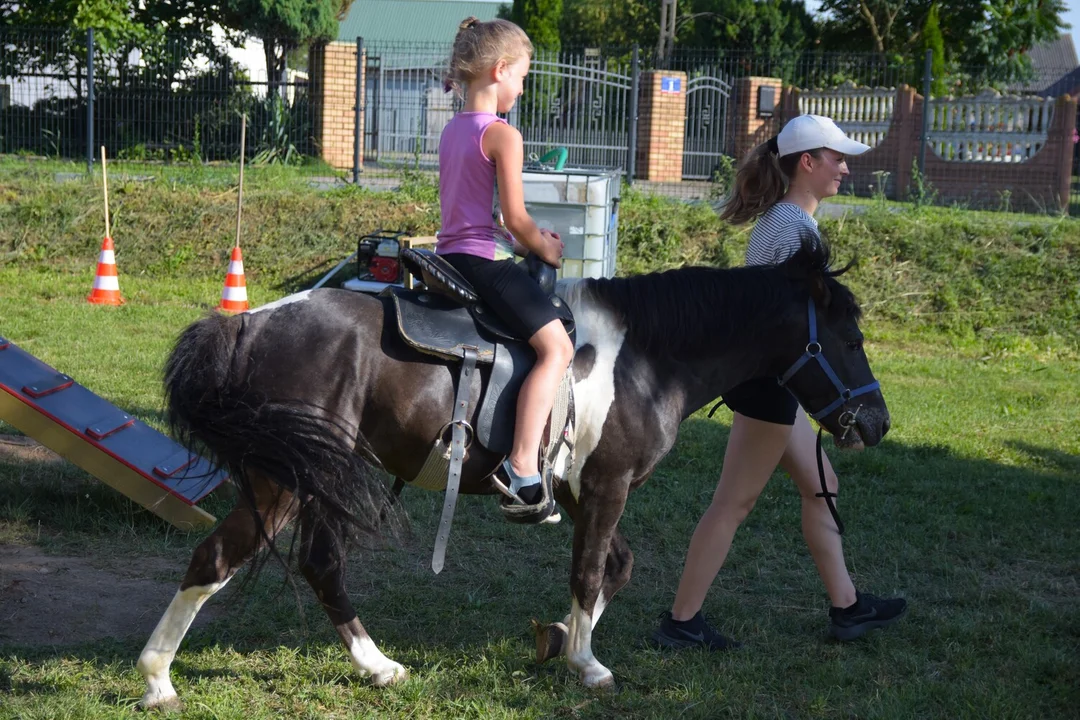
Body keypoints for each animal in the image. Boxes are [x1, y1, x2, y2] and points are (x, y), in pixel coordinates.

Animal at [139, 241, 889, 708]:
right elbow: (589, 571)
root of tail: (245, 328)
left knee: (297, 564)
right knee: (230, 559)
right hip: (286, 480)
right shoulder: (608, 487)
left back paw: (367, 666)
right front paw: (588, 664)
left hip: (308, 474)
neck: (644, 358)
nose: (876, 423)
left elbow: (615, 566)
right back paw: (162, 679)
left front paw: (559, 639)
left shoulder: (584, 492)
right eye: (851, 339)